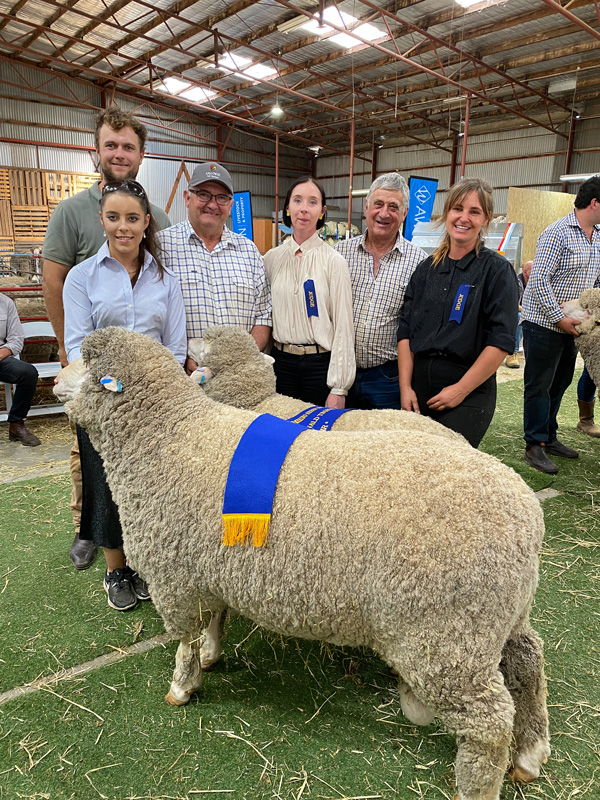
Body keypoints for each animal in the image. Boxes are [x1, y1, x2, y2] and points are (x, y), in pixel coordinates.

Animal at [64, 324, 548, 800]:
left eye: (86, 359)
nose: (54, 380)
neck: (168, 434)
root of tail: (527, 513)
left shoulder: (176, 576)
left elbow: (185, 639)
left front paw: (183, 686)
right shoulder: (211, 568)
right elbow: (215, 621)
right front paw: (211, 655)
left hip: (445, 635)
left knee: (489, 722)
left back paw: (481, 782)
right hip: (496, 616)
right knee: (527, 662)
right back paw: (530, 754)